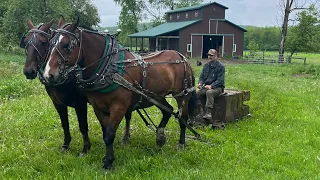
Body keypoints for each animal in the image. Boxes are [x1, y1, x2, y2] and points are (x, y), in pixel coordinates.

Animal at [20, 19, 91, 155]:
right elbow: (65, 123)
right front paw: (66, 144)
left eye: (43, 42)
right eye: (25, 42)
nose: (28, 71)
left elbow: (83, 125)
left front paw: (86, 147)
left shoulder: (80, 103)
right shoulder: (57, 102)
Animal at [42, 16, 198, 169]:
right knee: (167, 110)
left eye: (66, 45)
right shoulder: (98, 107)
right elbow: (105, 132)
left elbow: (110, 134)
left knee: (182, 117)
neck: (108, 67)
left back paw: (181, 143)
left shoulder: (119, 107)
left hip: (182, 94)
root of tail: (181, 56)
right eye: (50, 44)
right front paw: (107, 157)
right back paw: (160, 137)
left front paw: (108, 162)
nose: (48, 75)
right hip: (156, 96)